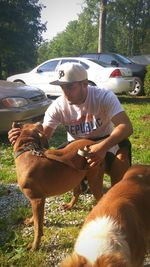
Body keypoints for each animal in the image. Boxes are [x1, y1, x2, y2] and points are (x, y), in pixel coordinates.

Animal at [12, 122, 103, 250]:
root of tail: (94, 143)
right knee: (77, 192)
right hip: (75, 177)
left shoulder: (37, 200)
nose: (40, 122)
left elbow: (37, 228)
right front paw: (30, 221)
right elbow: (35, 219)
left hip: (94, 179)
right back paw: (70, 205)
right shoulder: (36, 201)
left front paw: (35, 246)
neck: (27, 150)